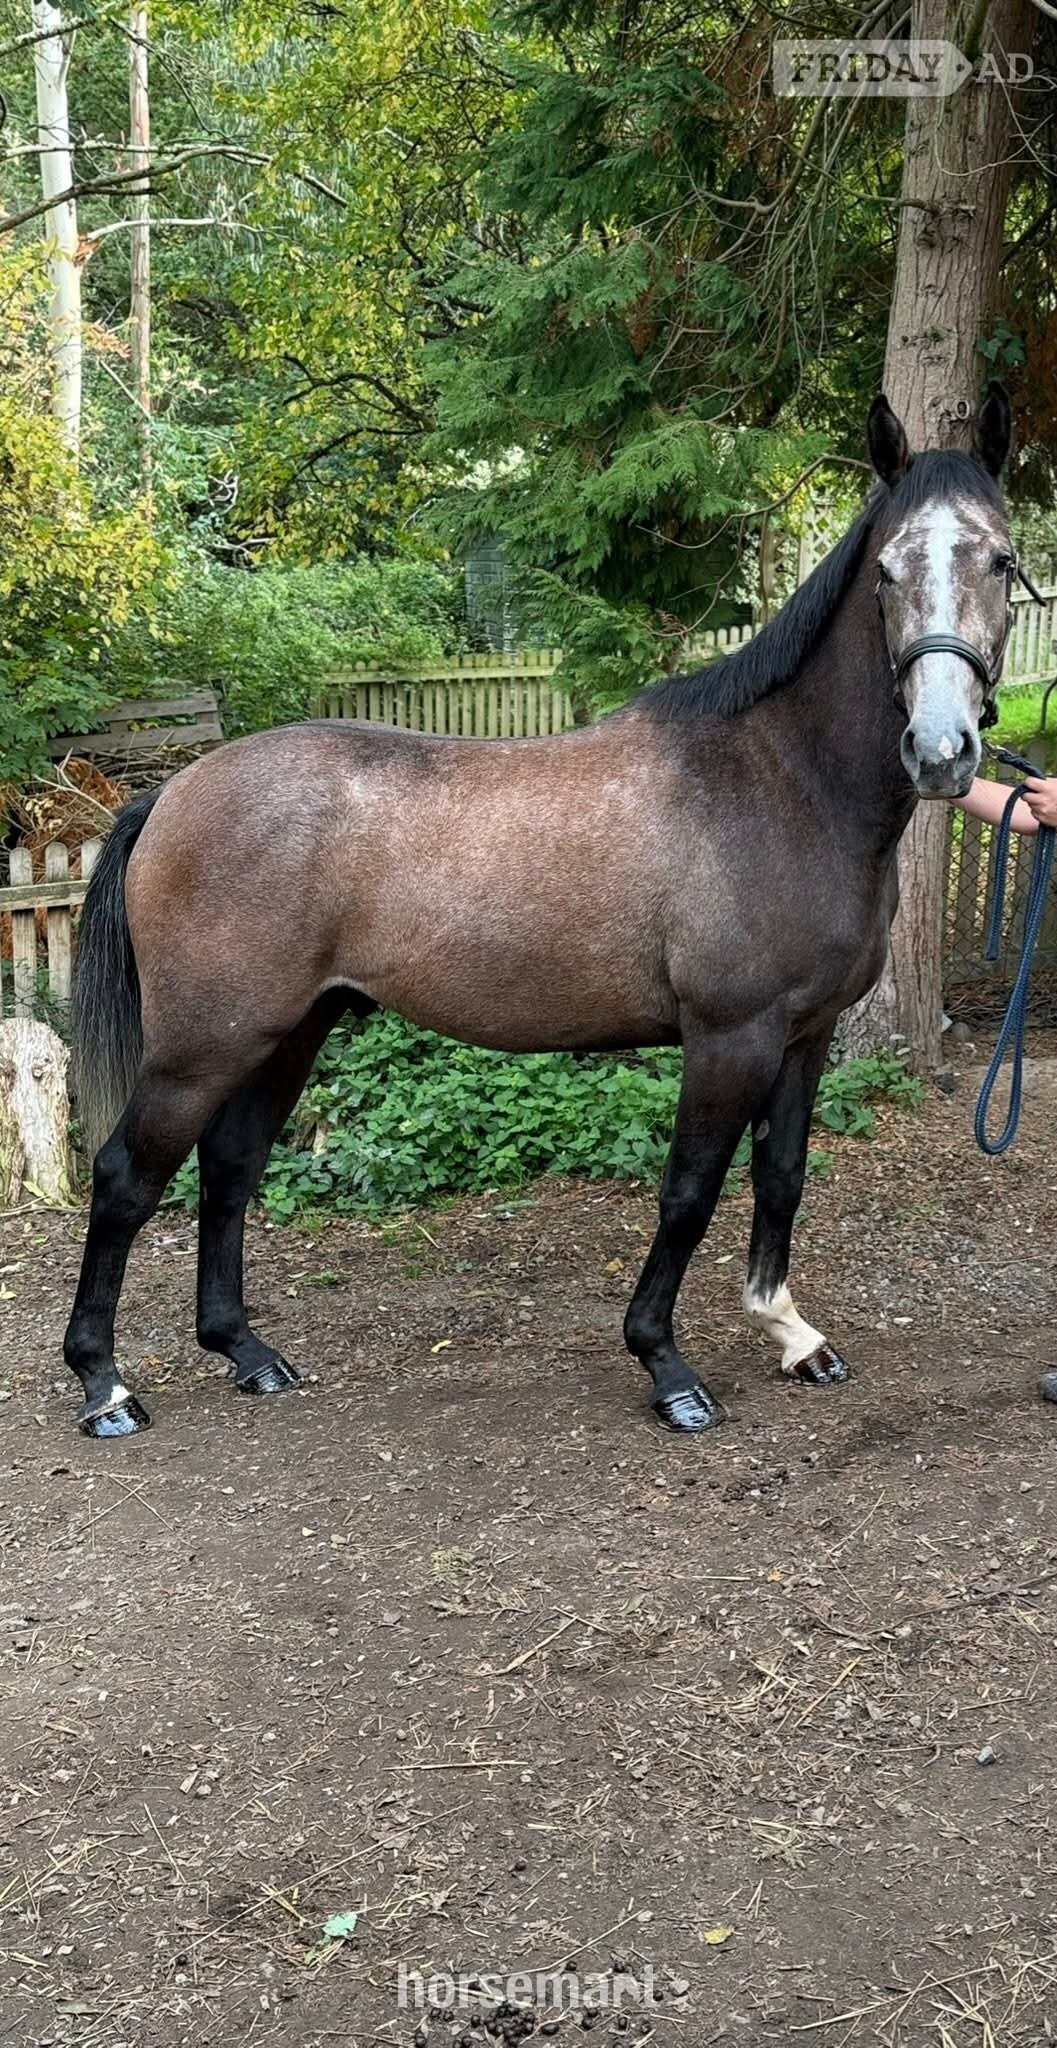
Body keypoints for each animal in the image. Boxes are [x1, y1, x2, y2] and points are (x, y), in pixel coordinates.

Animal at [65, 384, 1020, 1439]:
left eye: (1000, 559)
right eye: (887, 570)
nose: (942, 750)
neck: (779, 781)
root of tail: (171, 793)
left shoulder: (804, 1037)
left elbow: (781, 1178)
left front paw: (790, 1334)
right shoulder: (729, 1037)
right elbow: (687, 1193)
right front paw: (666, 1367)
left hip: (288, 1032)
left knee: (231, 1168)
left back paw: (245, 1352)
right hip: (202, 1047)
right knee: (126, 1179)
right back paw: (106, 1386)